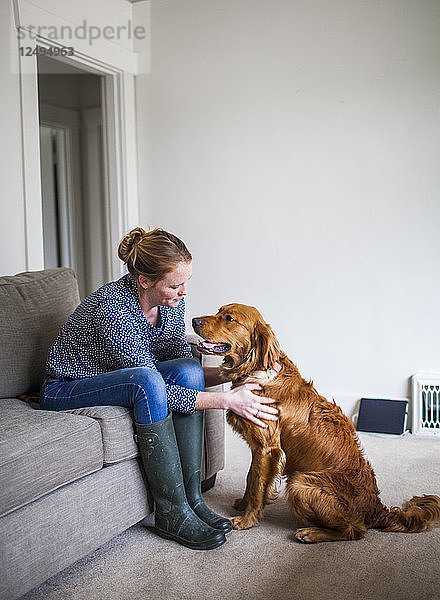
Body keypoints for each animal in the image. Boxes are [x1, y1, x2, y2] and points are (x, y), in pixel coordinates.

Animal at [192, 304, 440, 544]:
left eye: (229, 318)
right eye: (218, 311)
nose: (194, 320)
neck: (258, 370)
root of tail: (377, 509)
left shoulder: (267, 449)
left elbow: (257, 486)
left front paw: (247, 520)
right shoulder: (259, 448)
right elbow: (251, 478)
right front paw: (243, 505)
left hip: (300, 483)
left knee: (355, 530)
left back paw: (311, 533)